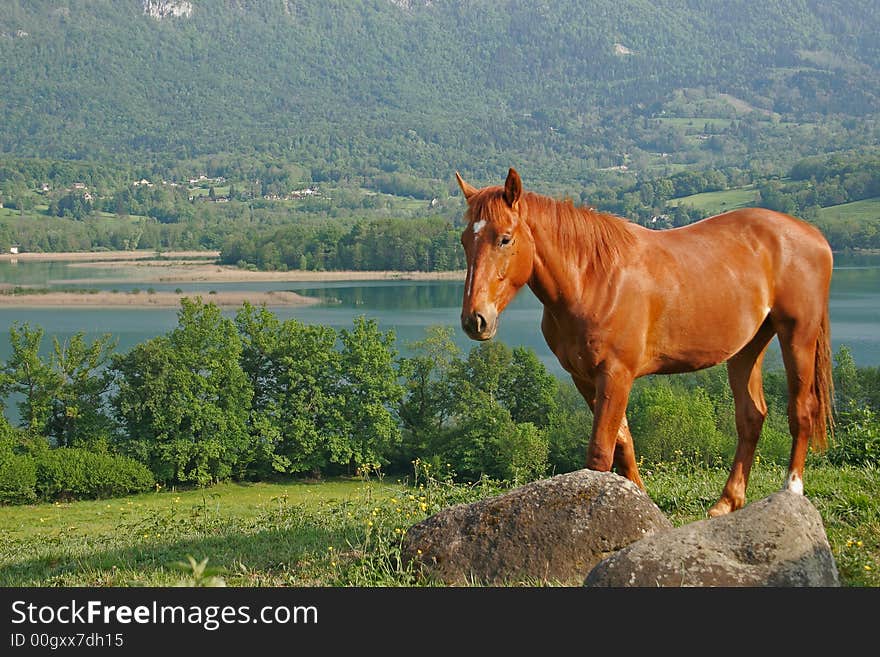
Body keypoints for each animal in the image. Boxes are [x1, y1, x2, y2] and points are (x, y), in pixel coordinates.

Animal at [458, 167, 836, 516]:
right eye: (464, 240)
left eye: (505, 239)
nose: (475, 319)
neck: (593, 278)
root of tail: (814, 235)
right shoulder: (586, 379)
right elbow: (623, 445)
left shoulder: (616, 374)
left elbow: (600, 453)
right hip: (747, 348)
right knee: (751, 417)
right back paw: (727, 502)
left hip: (797, 335)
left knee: (801, 410)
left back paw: (791, 490)